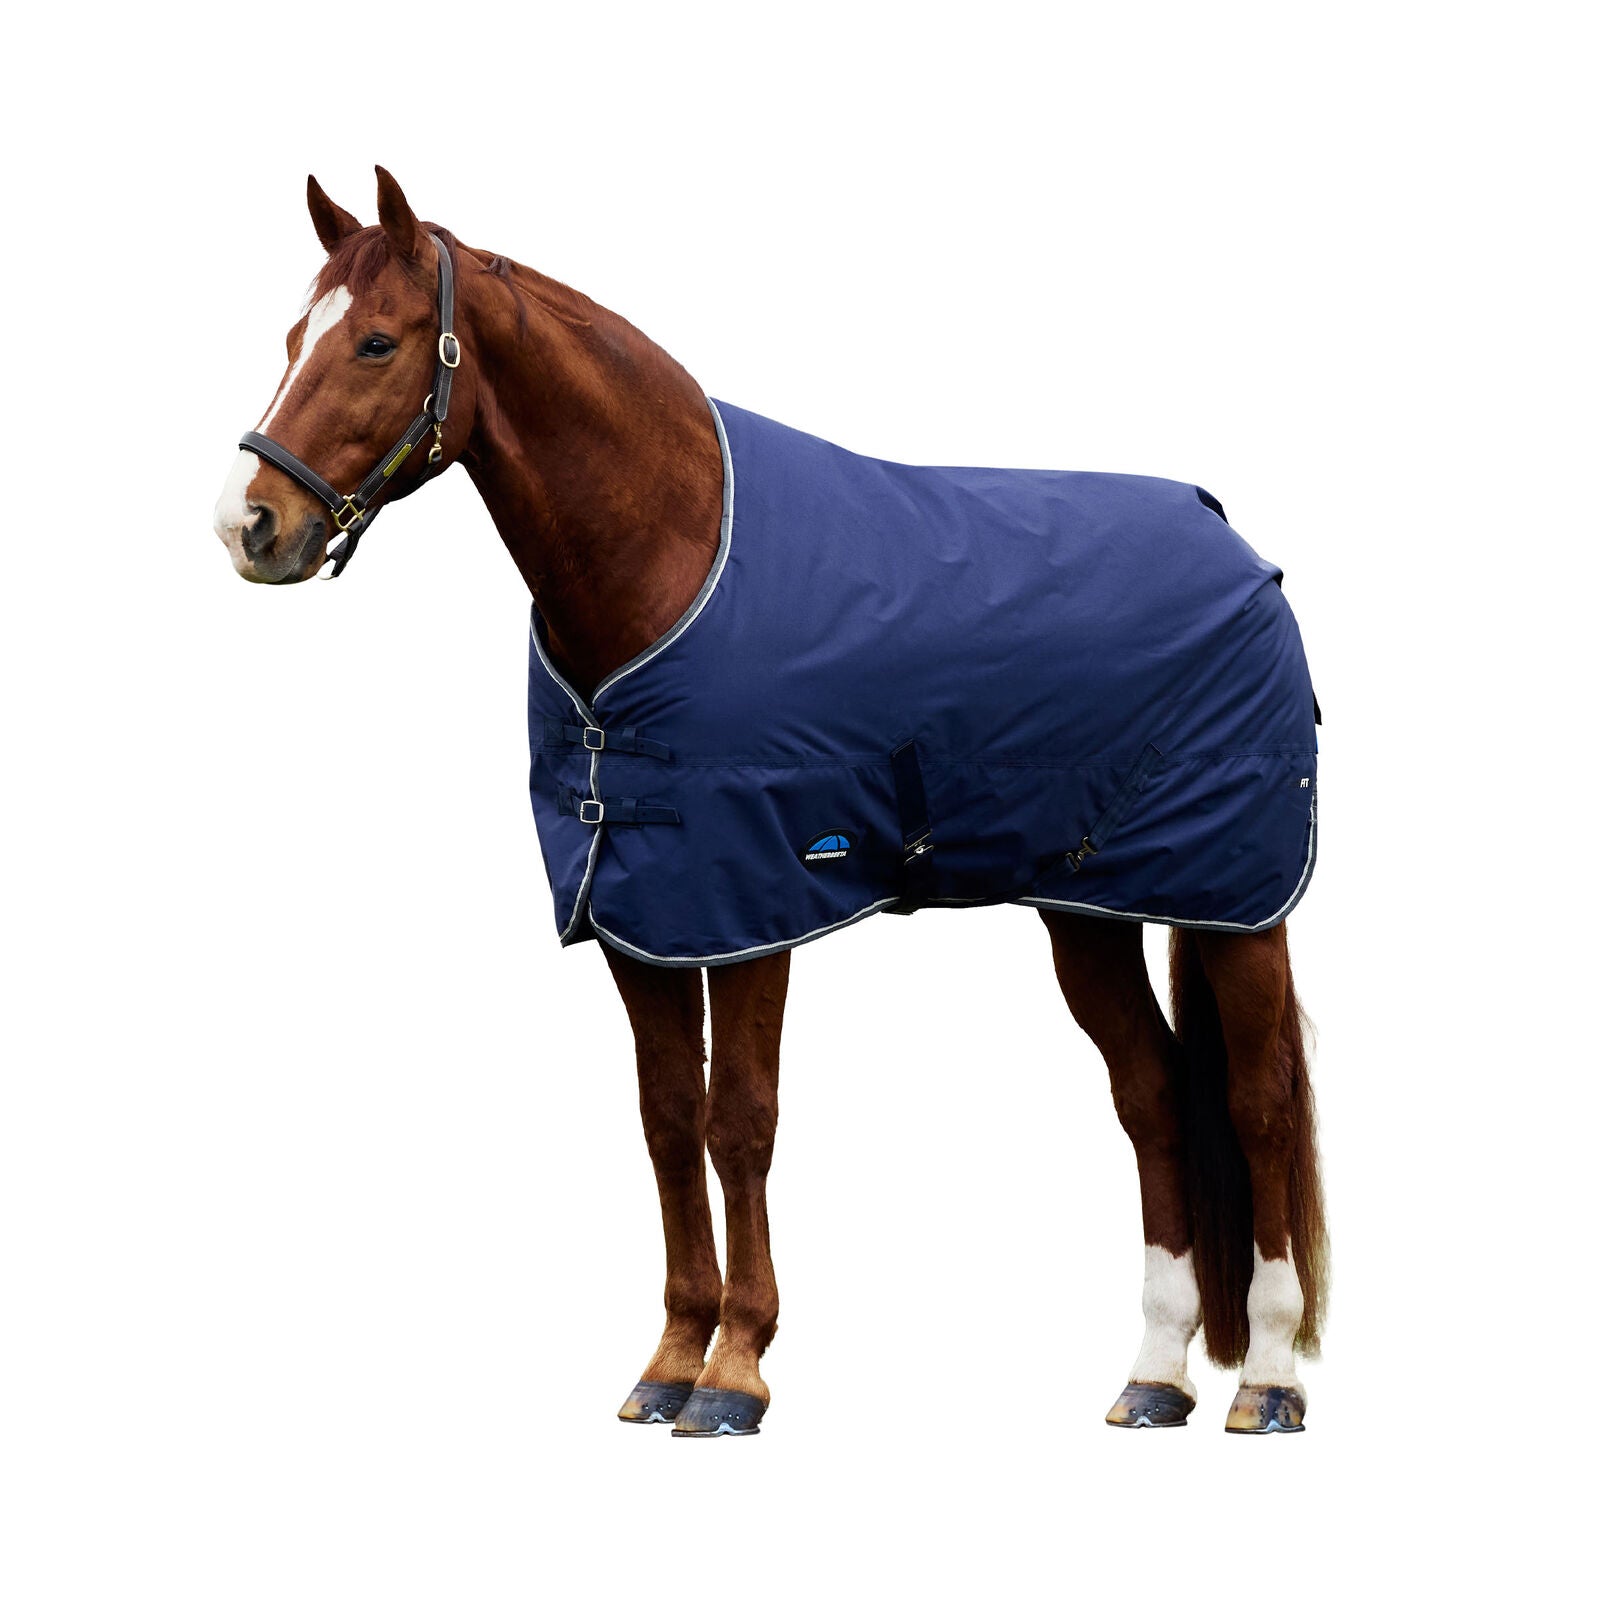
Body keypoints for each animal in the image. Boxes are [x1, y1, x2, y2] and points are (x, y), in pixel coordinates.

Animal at [213, 168, 1328, 1437]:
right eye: (292, 337)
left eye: (377, 341)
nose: (250, 526)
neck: (670, 559)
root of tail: (1236, 549)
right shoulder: (636, 914)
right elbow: (665, 1118)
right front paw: (669, 1356)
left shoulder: (753, 903)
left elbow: (739, 1117)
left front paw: (734, 1371)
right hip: (1086, 911)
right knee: (1152, 1096)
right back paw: (1152, 1373)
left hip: (1238, 904)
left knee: (1256, 1102)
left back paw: (1271, 1377)